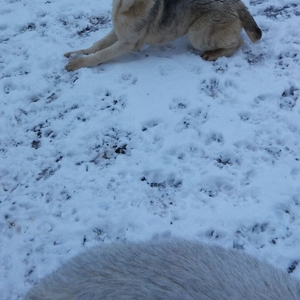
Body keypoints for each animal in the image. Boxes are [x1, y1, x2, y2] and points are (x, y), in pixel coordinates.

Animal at [64, 0, 262, 71]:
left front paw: (79, 63)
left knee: (238, 41)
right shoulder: (117, 32)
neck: (125, 6)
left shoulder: (127, 43)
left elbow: (101, 54)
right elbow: (97, 45)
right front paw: (78, 52)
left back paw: (213, 54)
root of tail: (239, 4)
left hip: (197, 34)